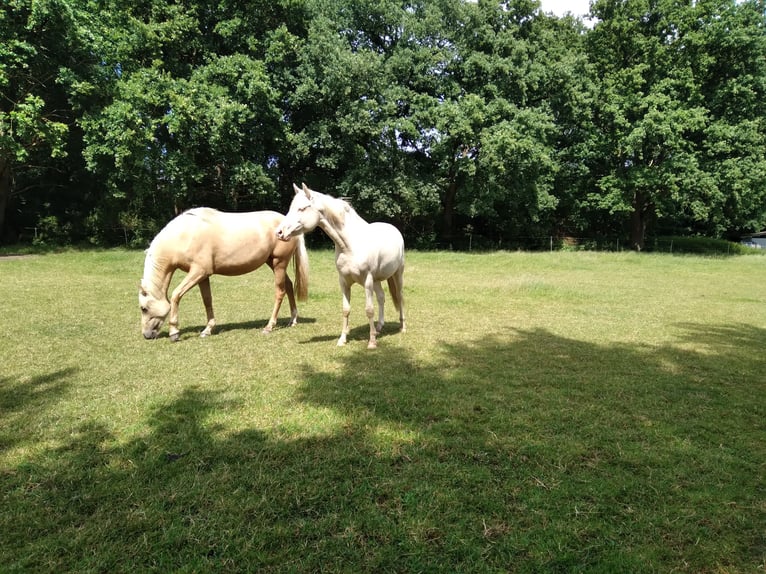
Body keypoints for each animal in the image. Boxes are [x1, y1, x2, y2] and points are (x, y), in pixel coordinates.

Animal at [138, 208, 308, 340]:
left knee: (280, 291)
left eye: (143, 308)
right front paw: (207, 330)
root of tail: (287, 225)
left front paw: (174, 332)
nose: (146, 335)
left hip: (279, 263)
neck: (185, 235)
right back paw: (292, 320)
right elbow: (207, 300)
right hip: (273, 263)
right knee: (289, 285)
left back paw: (269, 326)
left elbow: (175, 295)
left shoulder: (198, 272)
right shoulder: (203, 276)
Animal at [278, 183, 408, 352]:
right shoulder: (344, 282)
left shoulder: (367, 281)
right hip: (377, 280)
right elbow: (346, 310)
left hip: (397, 274)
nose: (279, 232)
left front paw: (372, 342)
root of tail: (394, 229)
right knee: (381, 297)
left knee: (399, 296)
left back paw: (402, 327)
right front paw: (342, 340)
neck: (350, 245)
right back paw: (379, 327)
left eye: (302, 208)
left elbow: (369, 309)